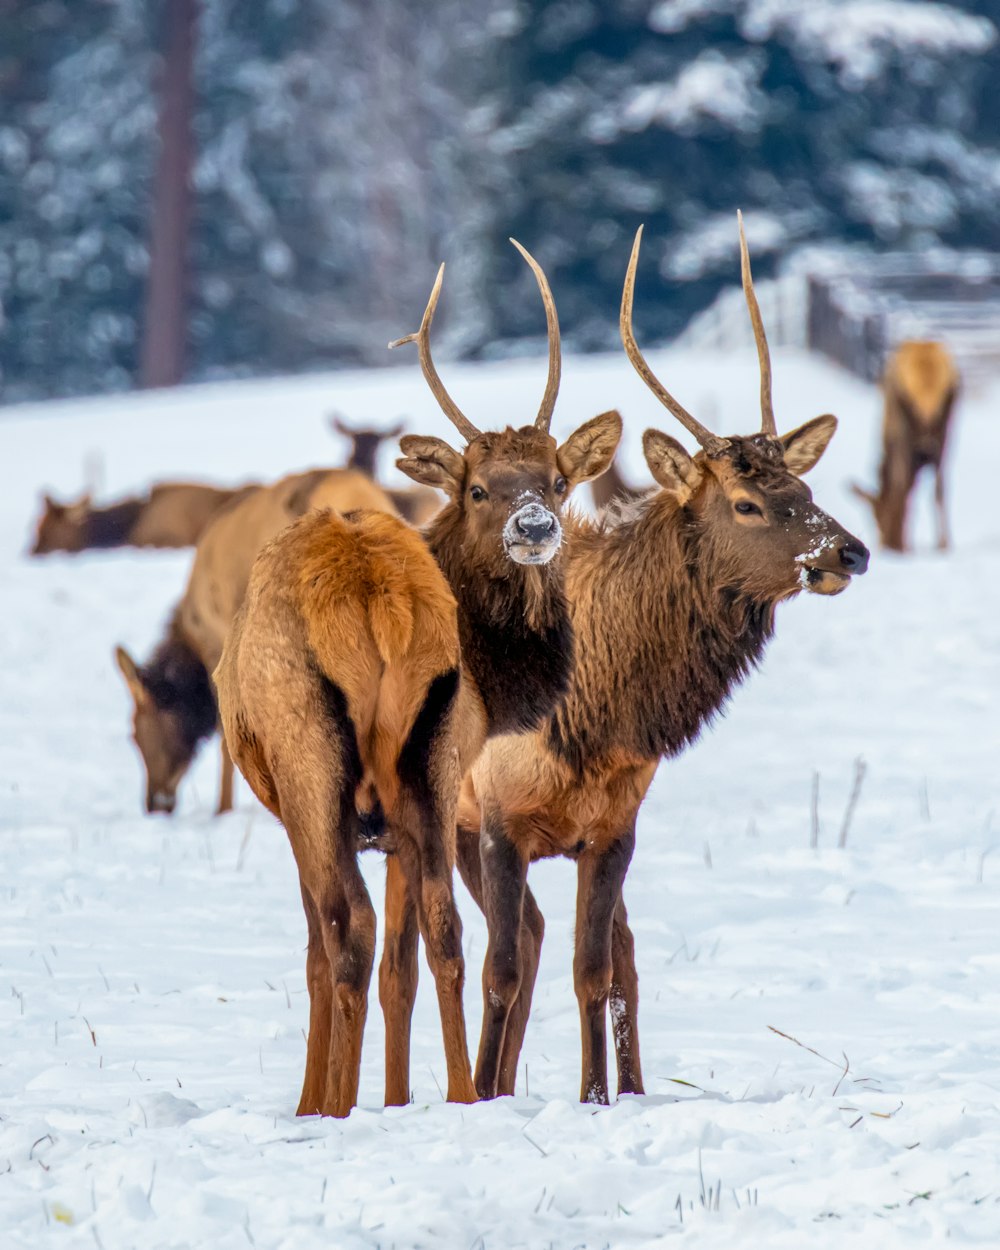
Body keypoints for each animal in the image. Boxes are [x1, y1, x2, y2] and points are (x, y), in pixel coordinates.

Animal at [216, 241, 620, 1115]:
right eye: (479, 486)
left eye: (557, 480)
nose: (535, 526)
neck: (501, 685)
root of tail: (377, 599)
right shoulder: (407, 807)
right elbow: (408, 958)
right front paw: (400, 1096)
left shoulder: (314, 809)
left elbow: (329, 948)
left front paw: (322, 1100)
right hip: (424, 765)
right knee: (444, 928)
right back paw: (465, 1095)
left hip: (313, 758)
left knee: (347, 932)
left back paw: (333, 1106)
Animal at [850, 342, 960, 557]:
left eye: (877, 517)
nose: (888, 543)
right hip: (946, 425)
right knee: (939, 486)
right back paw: (943, 545)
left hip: (903, 426)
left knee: (902, 484)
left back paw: (908, 546)